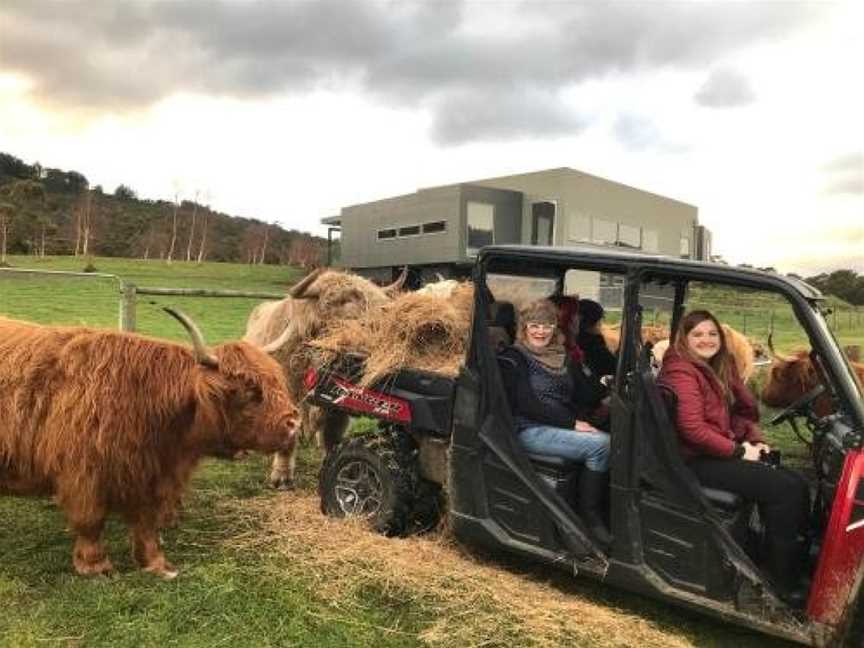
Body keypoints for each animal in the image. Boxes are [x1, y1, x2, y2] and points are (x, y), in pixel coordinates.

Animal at [0, 308, 296, 576]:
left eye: (276, 382)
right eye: (250, 391)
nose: (294, 421)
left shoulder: (151, 475)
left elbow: (146, 521)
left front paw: (155, 563)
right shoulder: (83, 474)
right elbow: (90, 520)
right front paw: (95, 566)